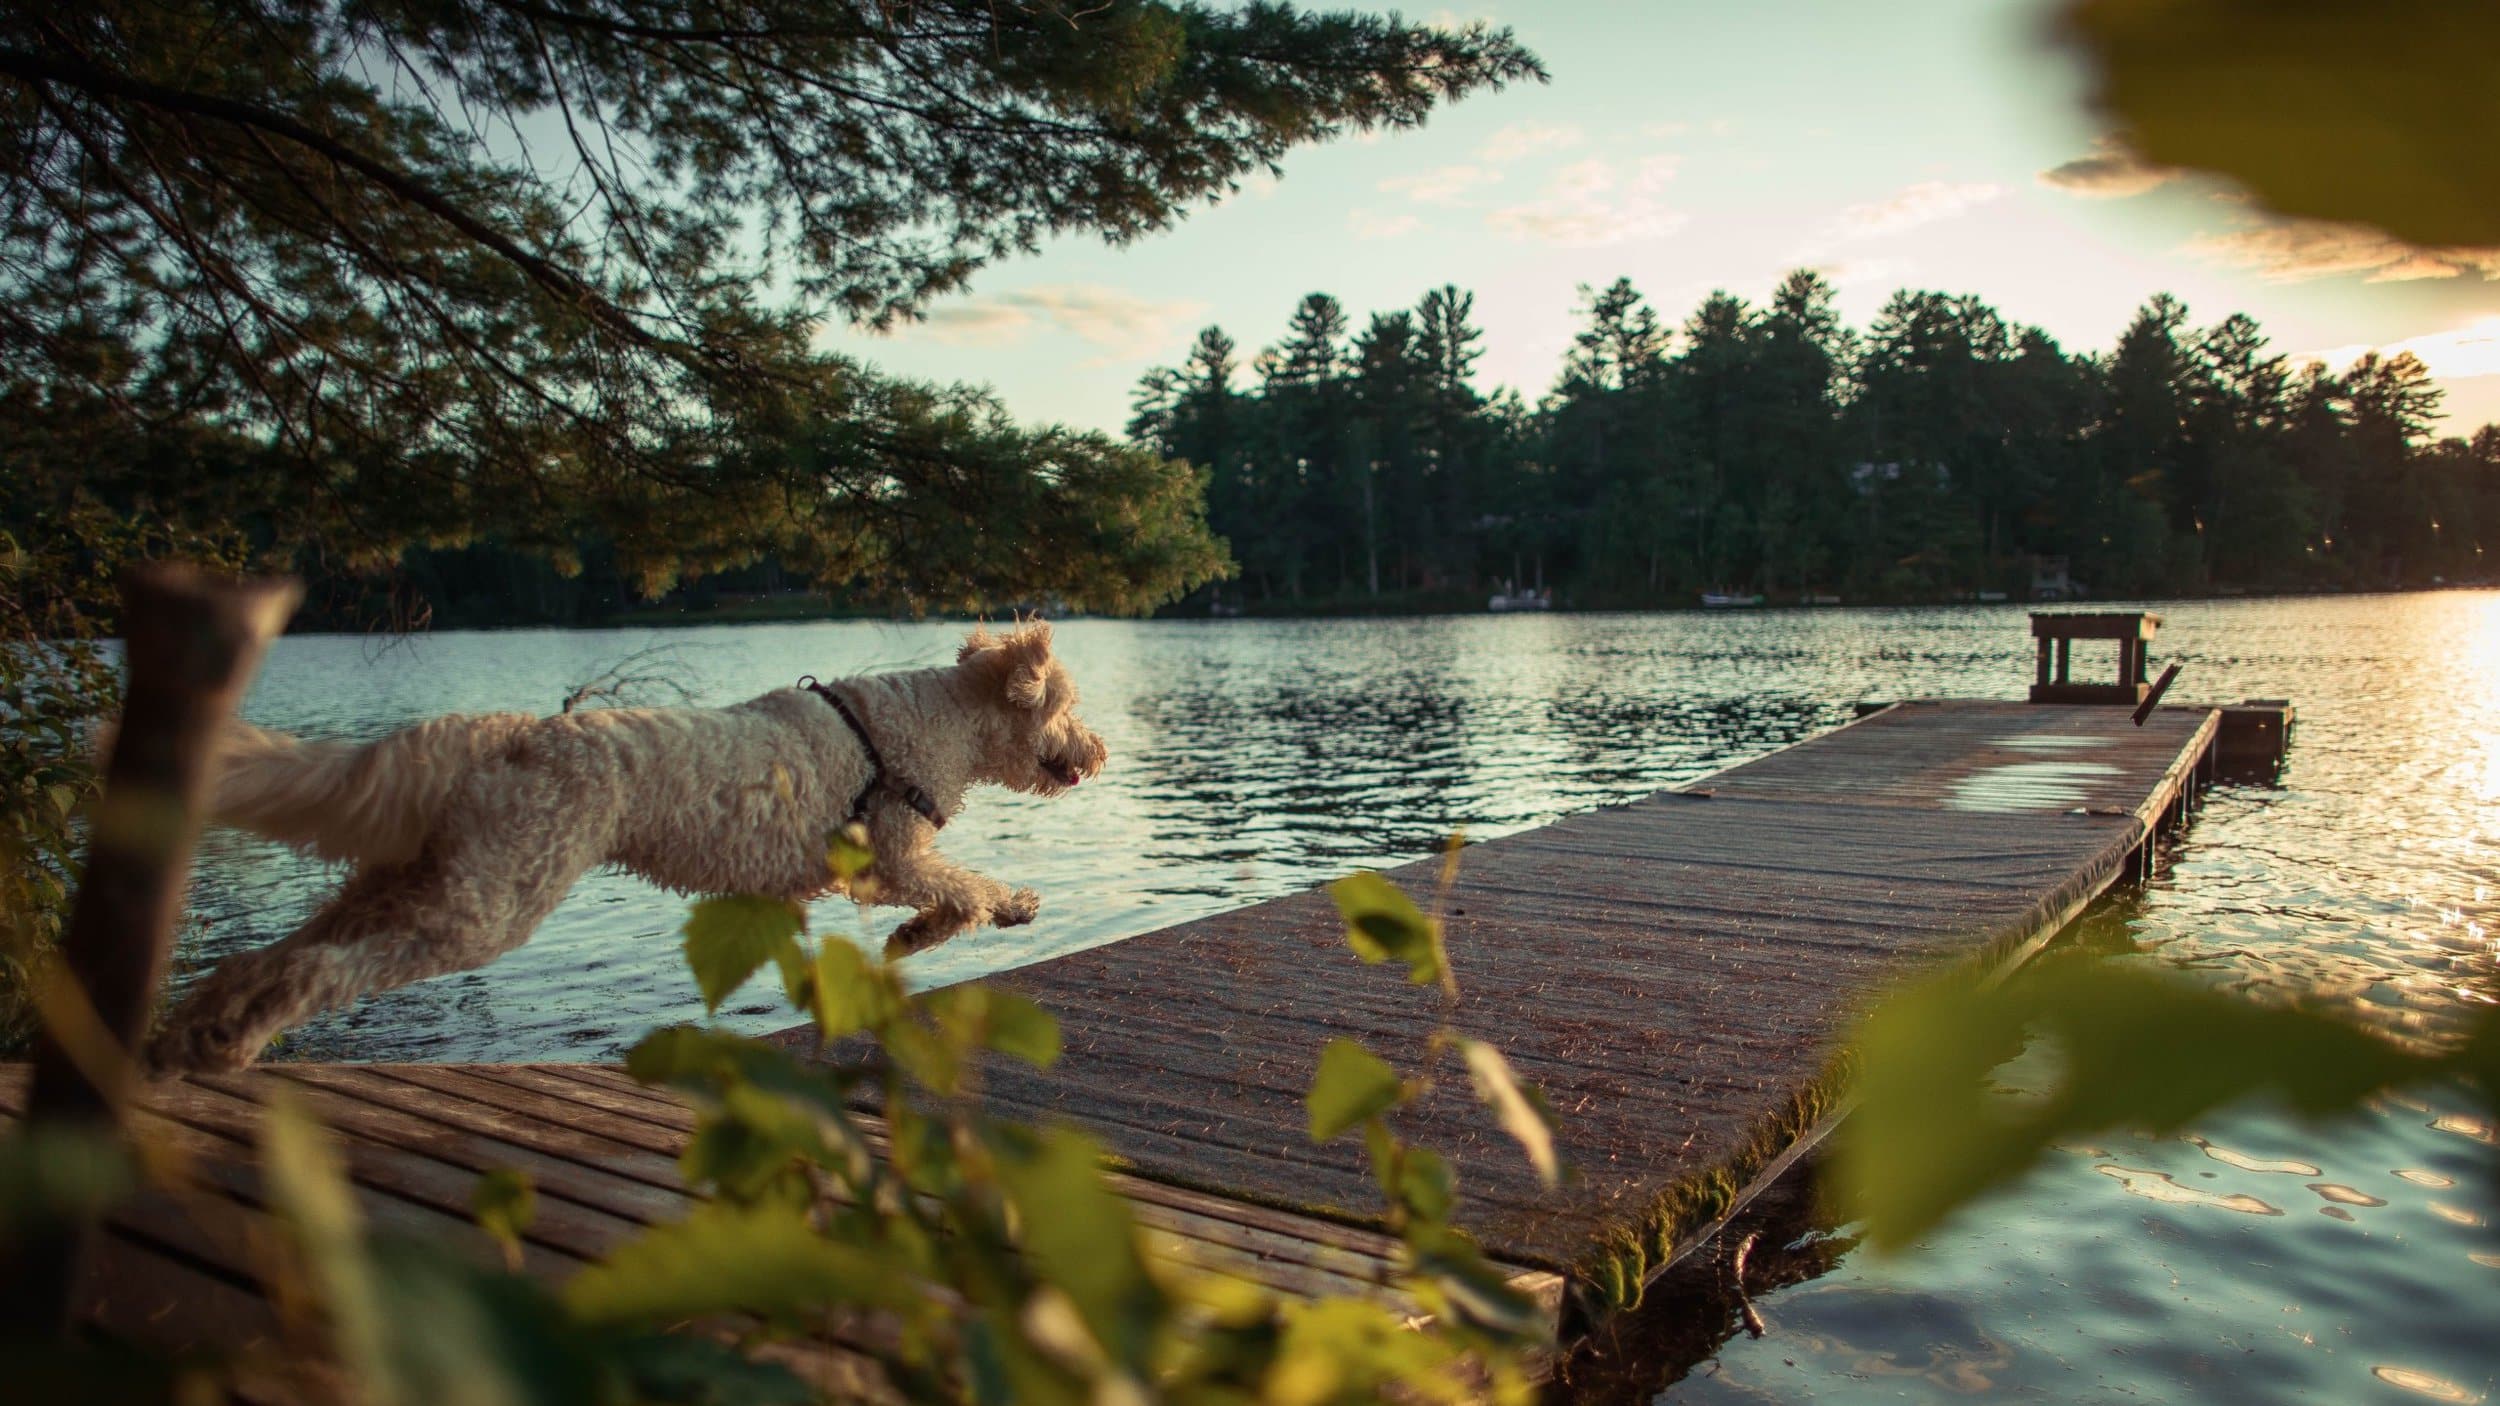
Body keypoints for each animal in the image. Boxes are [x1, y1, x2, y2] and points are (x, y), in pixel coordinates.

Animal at [143, 617, 1105, 1065]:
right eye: (1068, 706)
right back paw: (232, 1043)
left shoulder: (865, 872)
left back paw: (192, 1033)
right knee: (320, 970)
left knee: (269, 955)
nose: (1098, 751)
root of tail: (506, 736)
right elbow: (965, 887)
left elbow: (950, 900)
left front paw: (933, 932)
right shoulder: (897, 851)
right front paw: (999, 910)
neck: (931, 721)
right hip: (485, 906)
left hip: (411, 879)